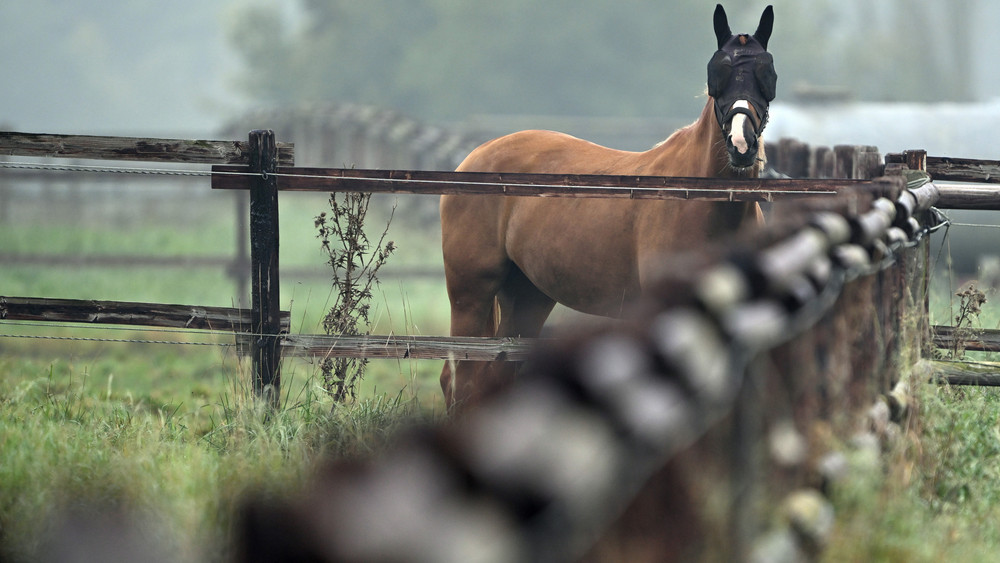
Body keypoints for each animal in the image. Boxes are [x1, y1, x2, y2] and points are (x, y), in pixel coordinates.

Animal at [442, 4, 776, 410]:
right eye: (717, 73)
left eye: (767, 72)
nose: (741, 145)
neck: (697, 199)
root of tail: (473, 157)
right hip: (470, 294)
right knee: (460, 380)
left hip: (527, 297)